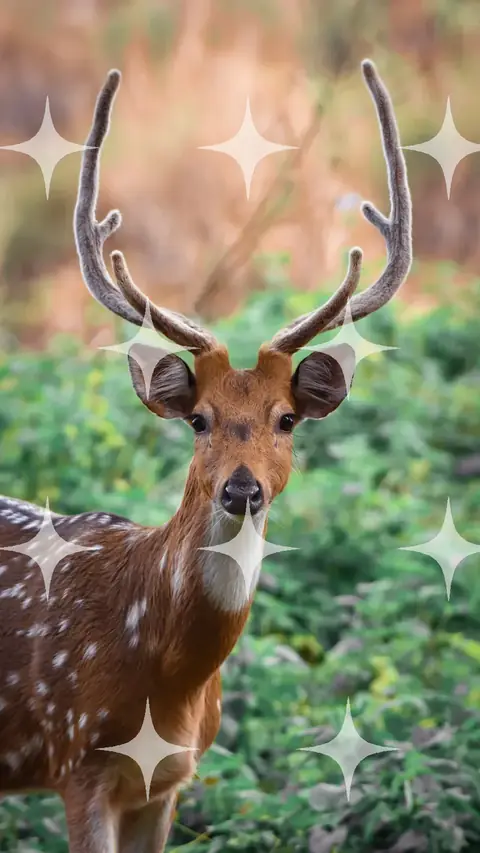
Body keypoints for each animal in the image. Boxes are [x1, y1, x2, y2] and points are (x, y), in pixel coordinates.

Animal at [0, 59, 411, 852]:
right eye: (198, 419)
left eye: (286, 418)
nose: (242, 490)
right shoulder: (76, 760)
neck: (169, 680)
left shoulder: (169, 780)